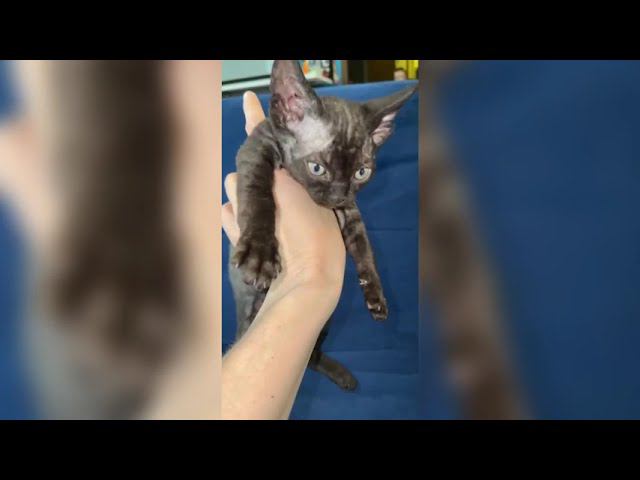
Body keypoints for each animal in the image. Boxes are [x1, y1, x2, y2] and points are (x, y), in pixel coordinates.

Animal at [229, 60, 416, 390]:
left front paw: (375, 294)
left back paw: (339, 373)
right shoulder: (256, 146)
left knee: (310, 356)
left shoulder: (349, 211)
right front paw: (259, 252)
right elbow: (257, 190)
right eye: (318, 168)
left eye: (361, 173)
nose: (339, 194)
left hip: (324, 321)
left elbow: (364, 246)